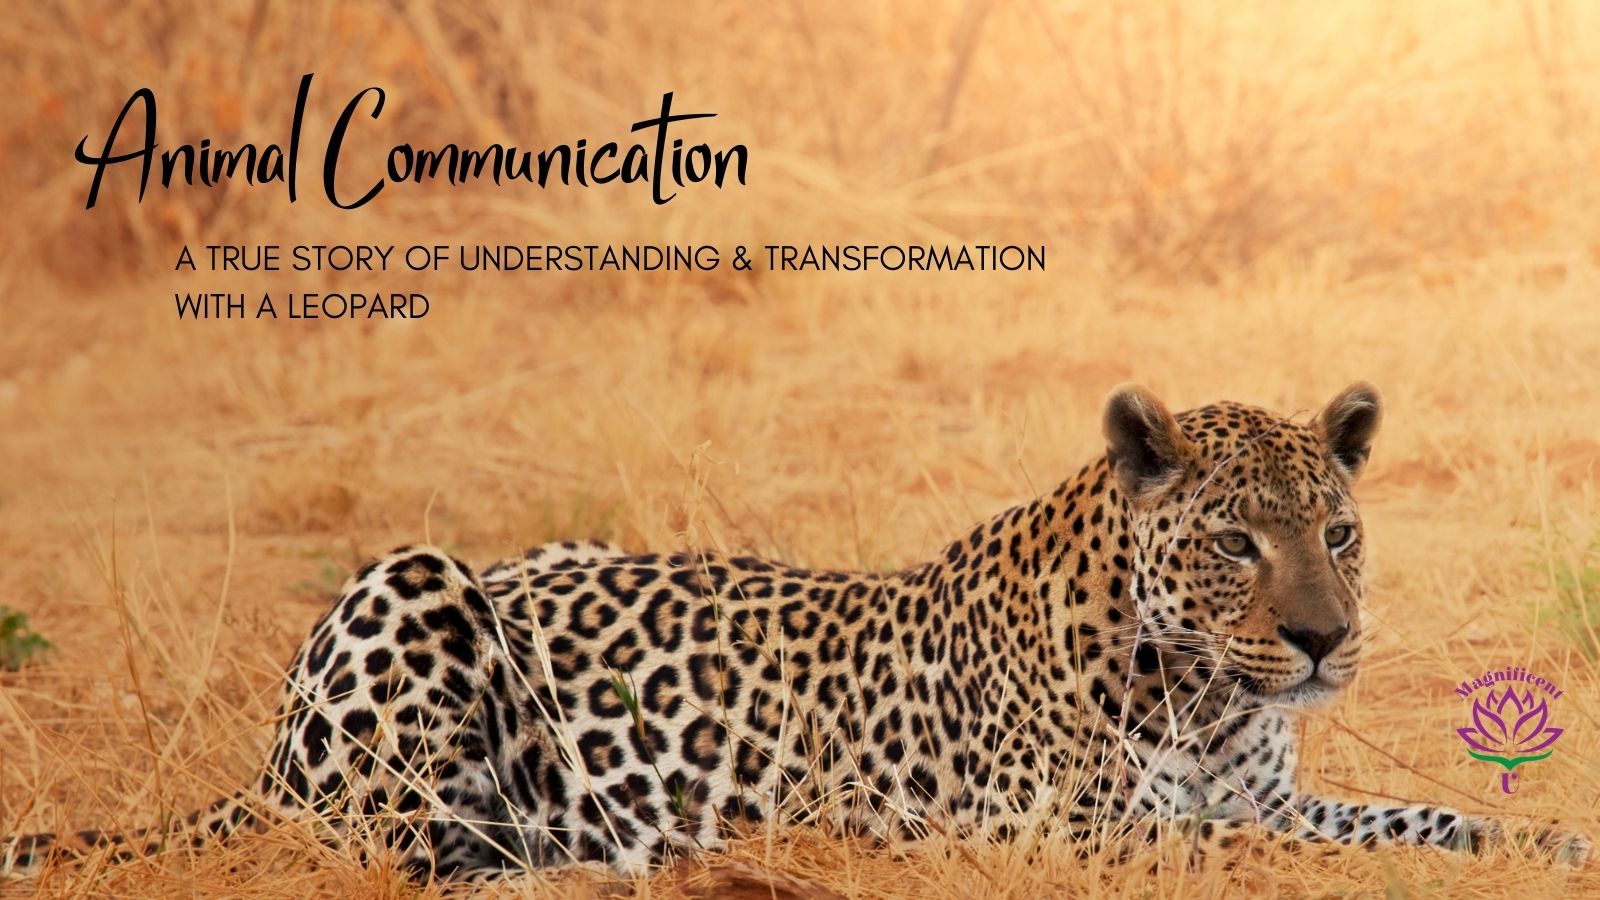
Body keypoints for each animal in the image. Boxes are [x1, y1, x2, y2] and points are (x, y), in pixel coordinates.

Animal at [3, 383, 1590, 881]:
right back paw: (641, 859)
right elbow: (1232, 850)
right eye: (1232, 543)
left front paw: (1546, 840)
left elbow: (1412, 820)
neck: (1205, 697)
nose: (1324, 641)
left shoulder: (1274, 790)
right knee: (410, 852)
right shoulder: (1065, 834)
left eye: (1337, 532)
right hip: (415, 582)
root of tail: (267, 759)